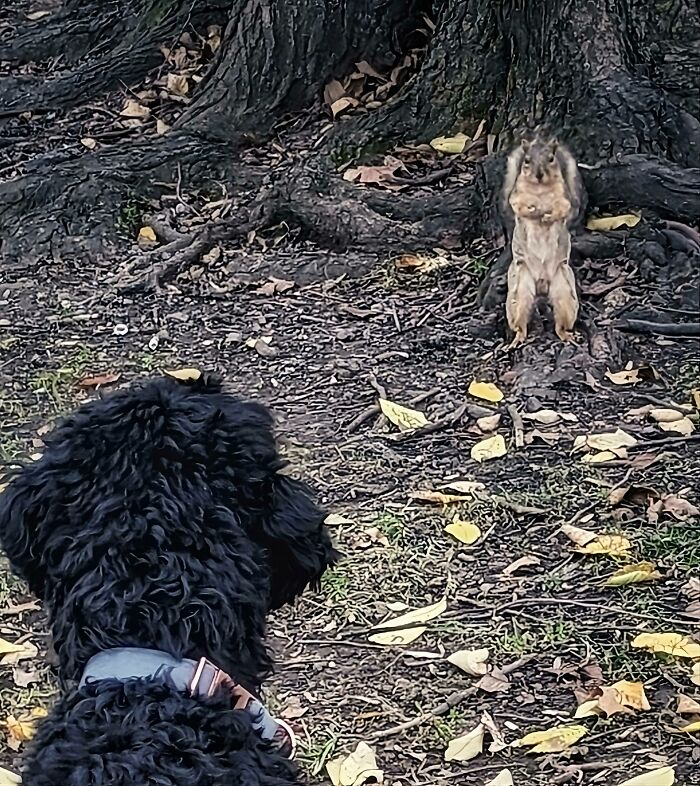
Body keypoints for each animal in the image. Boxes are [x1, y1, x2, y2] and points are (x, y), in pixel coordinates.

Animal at [502, 135, 583, 344]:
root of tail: (542, 284)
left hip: (565, 293)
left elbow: (562, 209)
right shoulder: (516, 196)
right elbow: (518, 206)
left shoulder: (564, 198)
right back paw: (517, 339)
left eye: (551, 158)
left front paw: (547, 216)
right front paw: (533, 211)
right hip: (518, 293)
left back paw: (567, 335)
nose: (539, 174)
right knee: (519, 323)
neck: (540, 190)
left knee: (560, 324)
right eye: (527, 160)